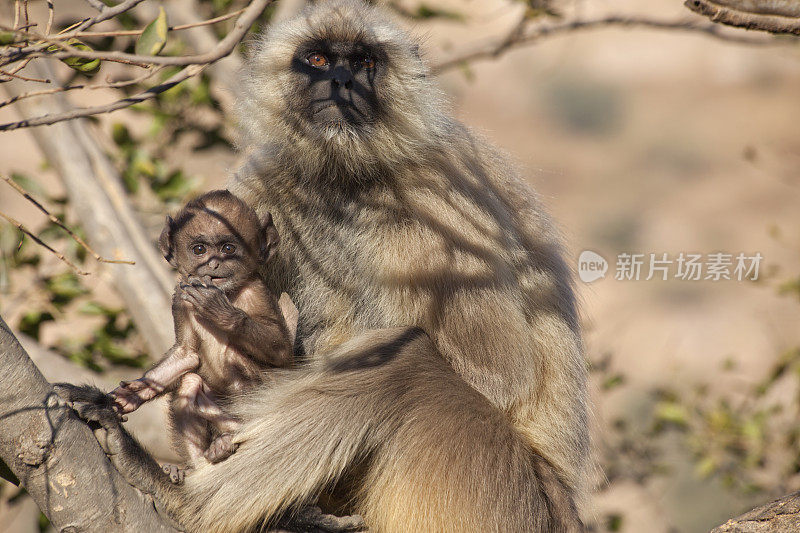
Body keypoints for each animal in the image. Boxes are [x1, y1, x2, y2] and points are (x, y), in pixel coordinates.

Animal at [109, 188, 290, 478]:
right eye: (199, 249)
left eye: (228, 249)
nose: (213, 264)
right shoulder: (180, 297)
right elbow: (187, 354)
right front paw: (133, 394)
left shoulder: (255, 291)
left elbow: (282, 350)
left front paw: (218, 309)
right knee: (189, 382)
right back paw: (195, 466)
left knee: (232, 358)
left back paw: (230, 436)